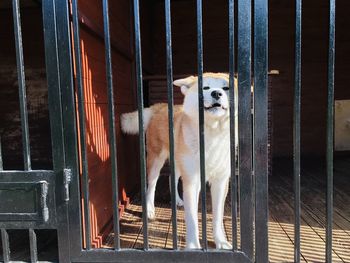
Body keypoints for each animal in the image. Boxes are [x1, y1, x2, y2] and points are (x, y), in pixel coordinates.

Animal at [120, 72, 238, 250]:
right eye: (205, 87)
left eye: (226, 87)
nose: (217, 93)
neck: (212, 136)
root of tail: (159, 106)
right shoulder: (193, 181)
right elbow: (192, 219)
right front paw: (193, 246)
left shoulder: (221, 181)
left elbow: (217, 218)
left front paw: (221, 242)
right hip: (156, 160)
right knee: (151, 185)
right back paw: (149, 209)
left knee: (171, 178)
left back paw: (176, 200)